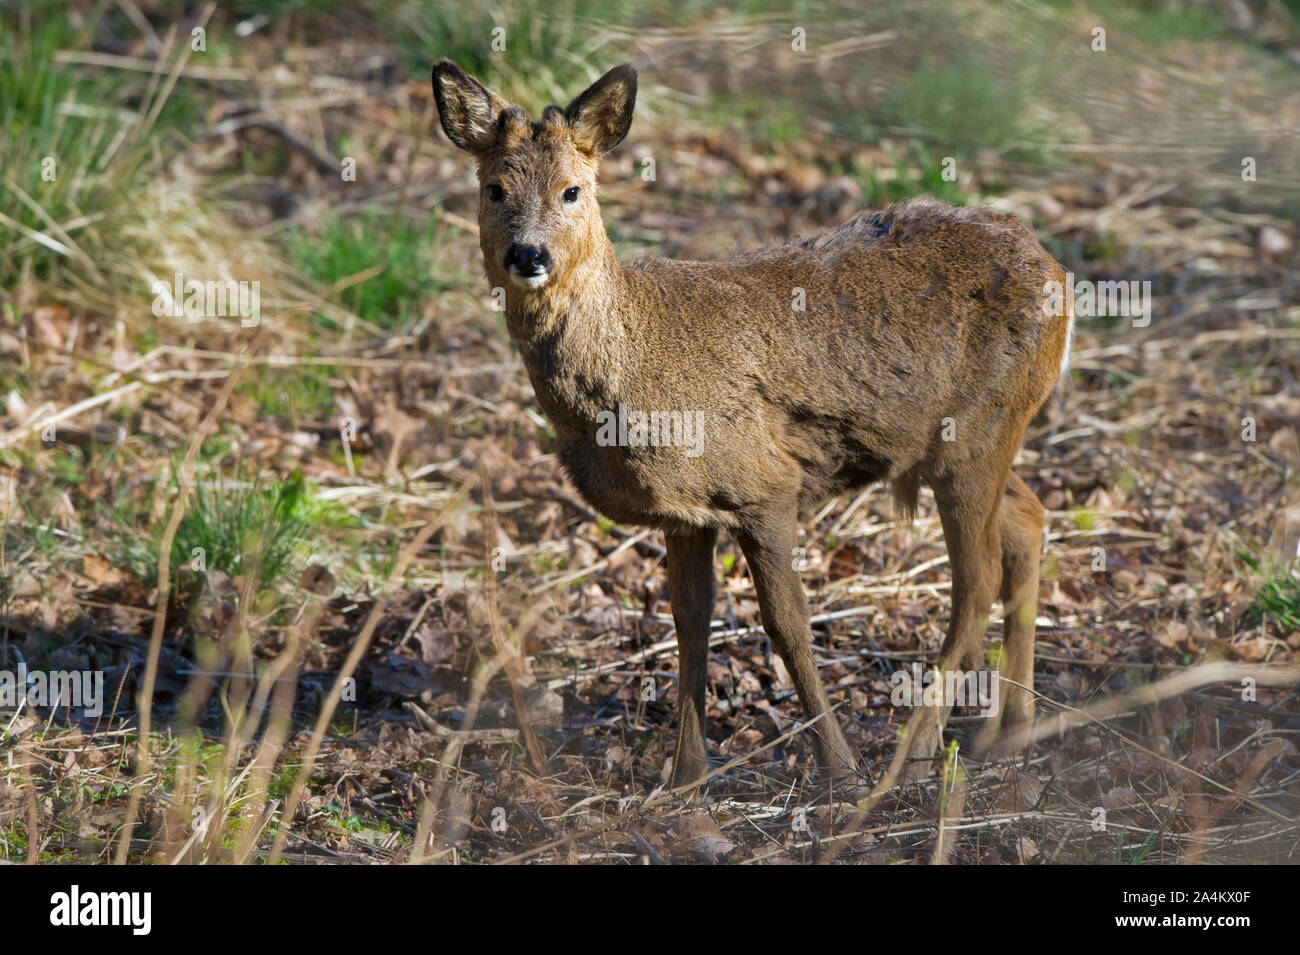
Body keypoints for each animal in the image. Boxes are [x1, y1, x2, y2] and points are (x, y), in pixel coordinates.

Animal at [431, 61, 1071, 789]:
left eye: (573, 189)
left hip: (980, 431)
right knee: (1027, 521)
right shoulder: (686, 513)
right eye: (494, 188)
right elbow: (689, 622)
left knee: (977, 579)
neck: (636, 367)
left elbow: (787, 623)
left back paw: (910, 758)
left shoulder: (764, 484)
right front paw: (685, 778)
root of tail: (1058, 270)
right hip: (973, 439)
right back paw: (1008, 732)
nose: (528, 255)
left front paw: (838, 768)